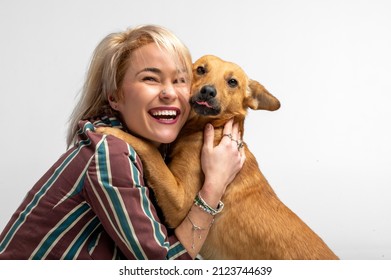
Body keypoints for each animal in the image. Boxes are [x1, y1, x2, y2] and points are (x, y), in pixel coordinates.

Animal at [99, 55, 340, 260]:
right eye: (200, 70)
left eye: (232, 81)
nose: (207, 91)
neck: (209, 128)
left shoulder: (181, 204)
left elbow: (149, 149)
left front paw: (113, 132)